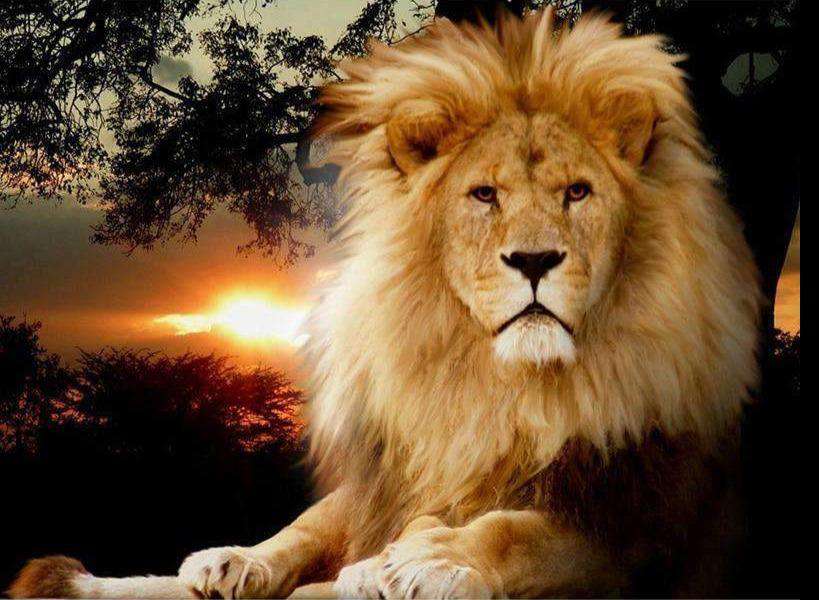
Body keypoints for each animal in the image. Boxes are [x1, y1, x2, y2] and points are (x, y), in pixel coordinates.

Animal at [10, 9, 761, 599]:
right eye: (484, 194)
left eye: (577, 192)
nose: (533, 261)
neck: (500, 386)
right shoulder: (401, 469)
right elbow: (319, 521)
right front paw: (249, 560)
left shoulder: (642, 522)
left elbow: (517, 530)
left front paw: (428, 558)